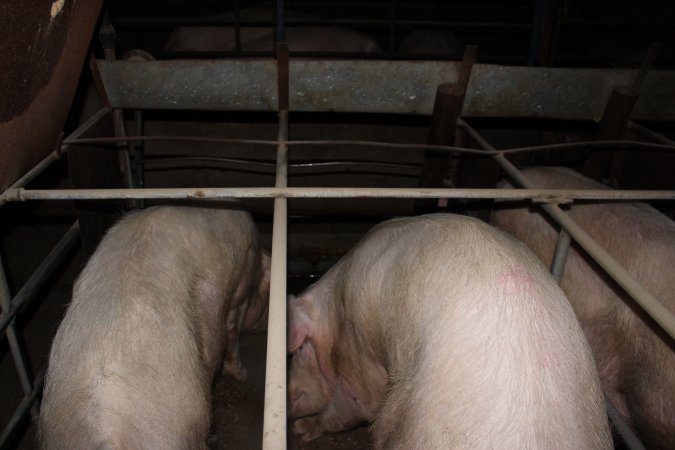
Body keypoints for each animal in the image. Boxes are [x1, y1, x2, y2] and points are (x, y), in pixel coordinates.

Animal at [286, 214, 612, 450]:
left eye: (300, 351)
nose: (287, 406)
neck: (334, 309)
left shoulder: (359, 347)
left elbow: (354, 404)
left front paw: (303, 430)